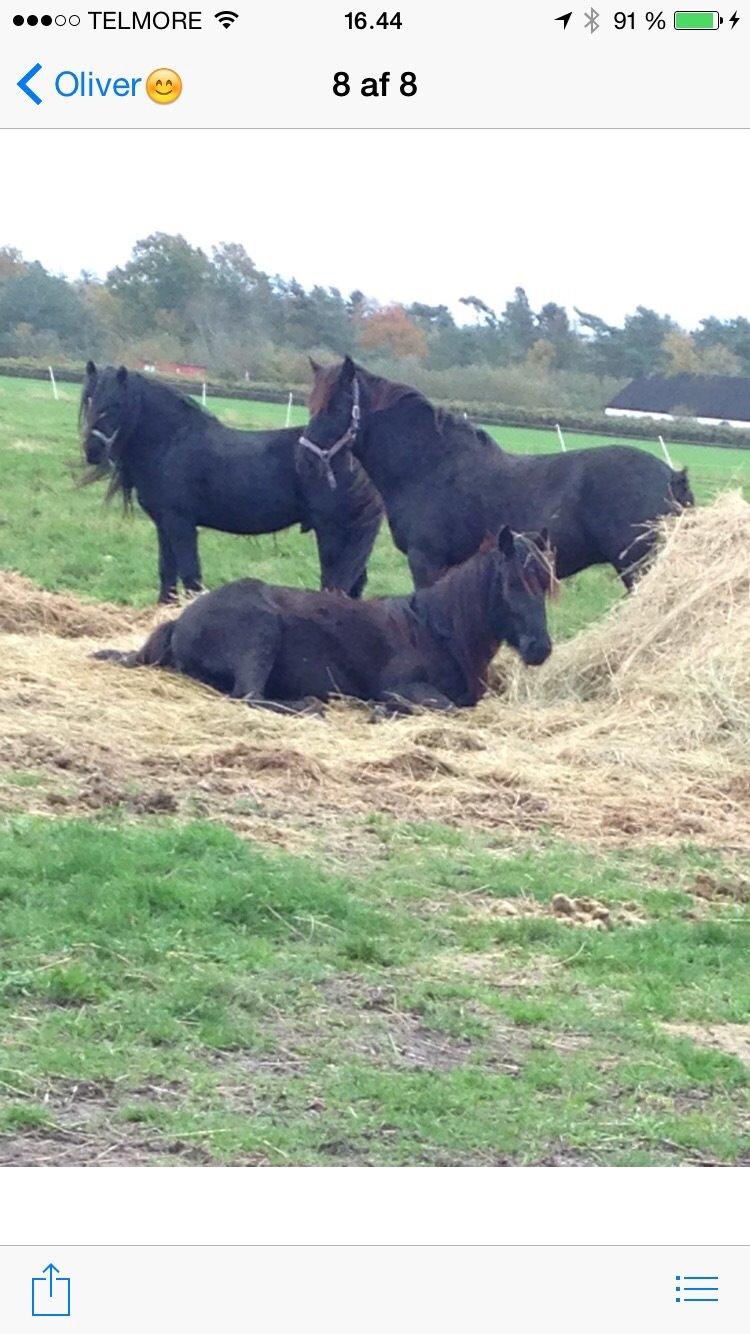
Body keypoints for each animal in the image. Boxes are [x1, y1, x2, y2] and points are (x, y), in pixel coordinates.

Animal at [80, 363, 383, 603]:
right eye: (90, 399)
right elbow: (167, 574)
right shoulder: (164, 525)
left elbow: (191, 577)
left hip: (333, 532)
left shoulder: (181, 523)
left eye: (116, 404)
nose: (92, 451)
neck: (171, 442)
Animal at [93, 526, 554, 715]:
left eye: (545, 583)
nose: (540, 649)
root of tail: (182, 620)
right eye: (512, 582)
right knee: (249, 697)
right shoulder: (403, 686)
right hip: (260, 634)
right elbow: (442, 707)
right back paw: (312, 705)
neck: (437, 631)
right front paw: (382, 711)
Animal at [300, 357, 695, 591]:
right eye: (311, 404)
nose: (304, 460)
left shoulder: (426, 561)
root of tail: (670, 477)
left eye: (336, 406)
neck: (429, 468)